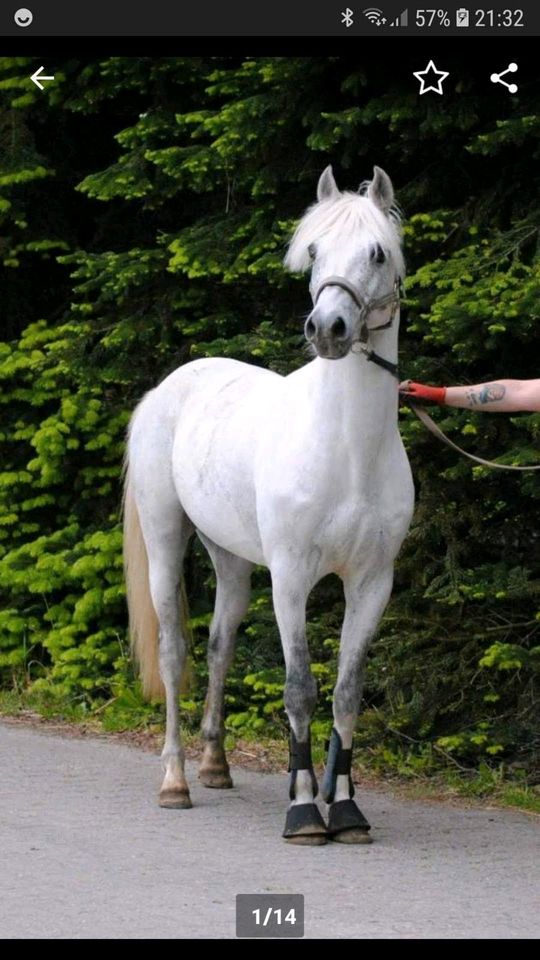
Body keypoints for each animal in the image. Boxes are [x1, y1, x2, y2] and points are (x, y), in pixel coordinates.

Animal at [125, 169, 414, 844]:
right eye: (314, 251)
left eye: (377, 253)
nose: (328, 328)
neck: (347, 450)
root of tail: (168, 388)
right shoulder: (291, 579)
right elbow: (300, 689)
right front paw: (306, 810)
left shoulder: (372, 584)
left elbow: (346, 693)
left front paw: (348, 810)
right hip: (165, 541)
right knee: (175, 654)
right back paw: (176, 782)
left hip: (230, 559)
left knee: (219, 645)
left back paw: (215, 766)